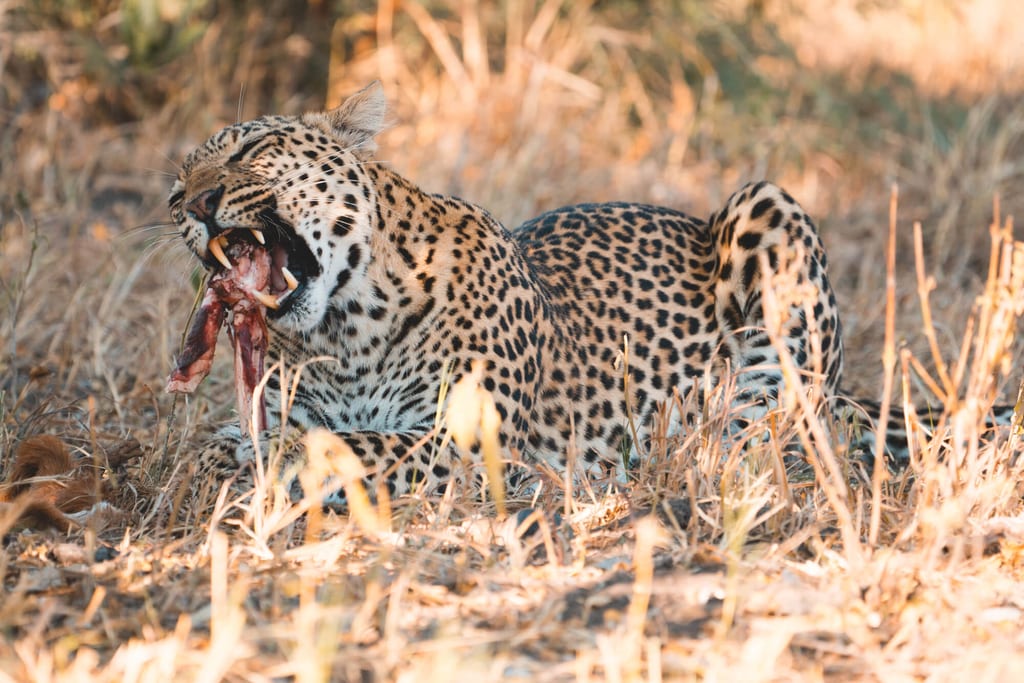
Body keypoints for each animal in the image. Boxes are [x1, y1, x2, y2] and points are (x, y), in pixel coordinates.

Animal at [168, 82, 1014, 507]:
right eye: (176, 181)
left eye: (252, 147)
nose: (191, 202)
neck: (345, 332)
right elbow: (235, 441)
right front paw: (221, 460)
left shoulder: (471, 440)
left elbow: (350, 445)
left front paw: (276, 463)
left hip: (767, 208)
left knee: (778, 435)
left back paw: (668, 458)